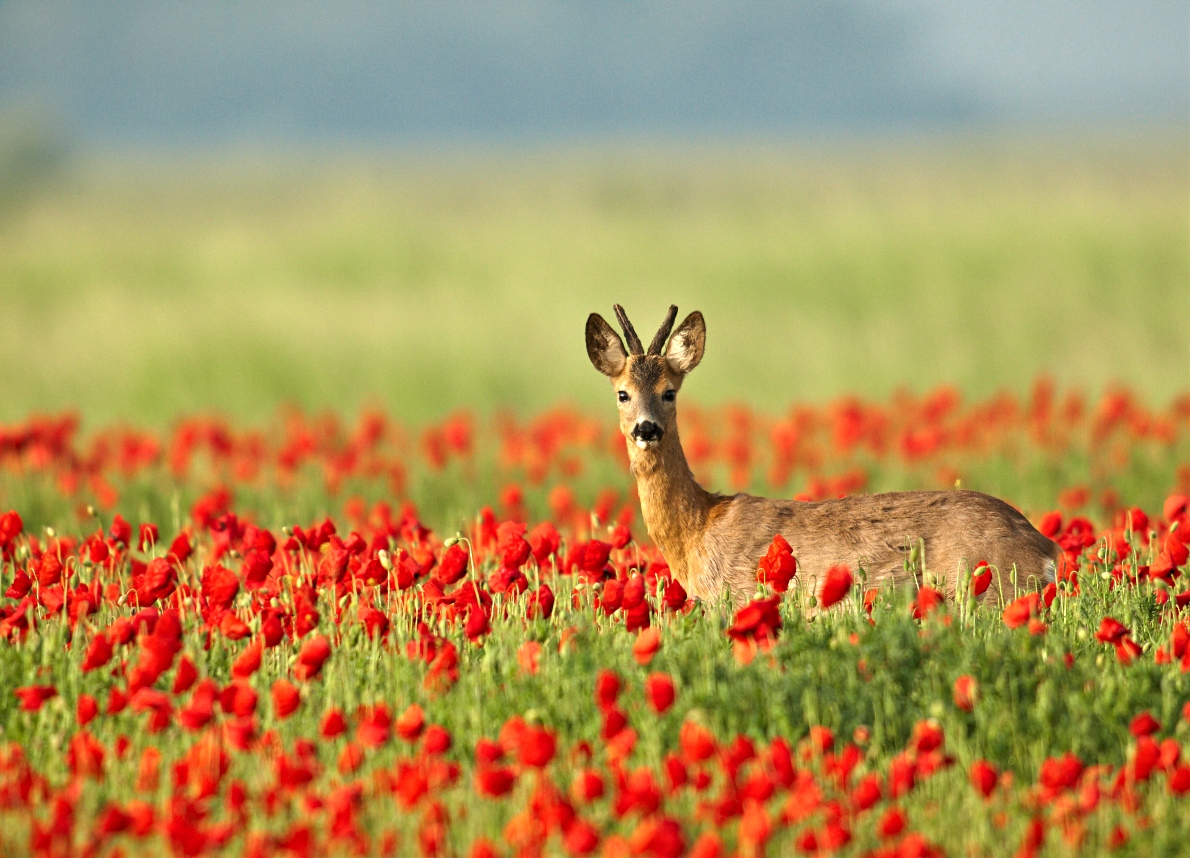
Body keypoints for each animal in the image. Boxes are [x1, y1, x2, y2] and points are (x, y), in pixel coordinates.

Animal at [585, 304, 1061, 606]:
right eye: (623, 393)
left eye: (670, 392)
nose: (647, 429)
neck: (699, 530)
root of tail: (1045, 547)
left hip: (989, 592)